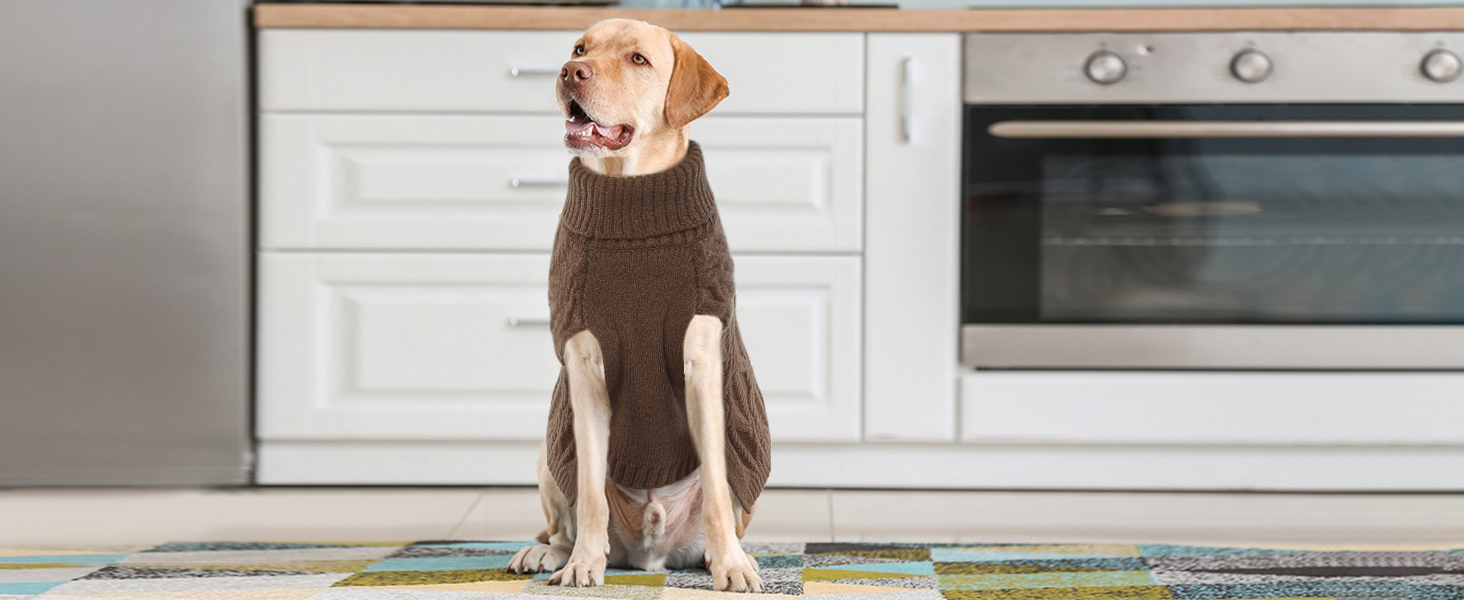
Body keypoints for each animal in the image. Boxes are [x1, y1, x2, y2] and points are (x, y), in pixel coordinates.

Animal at [509, 17, 772, 591]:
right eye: (579, 48)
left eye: (638, 60)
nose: (570, 72)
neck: (630, 192)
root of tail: (652, 555)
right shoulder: (584, 368)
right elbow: (589, 495)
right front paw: (584, 563)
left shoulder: (701, 362)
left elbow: (715, 489)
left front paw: (732, 567)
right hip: (549, 450)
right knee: (562, 522)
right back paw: (551, 554)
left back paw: (728, 555)